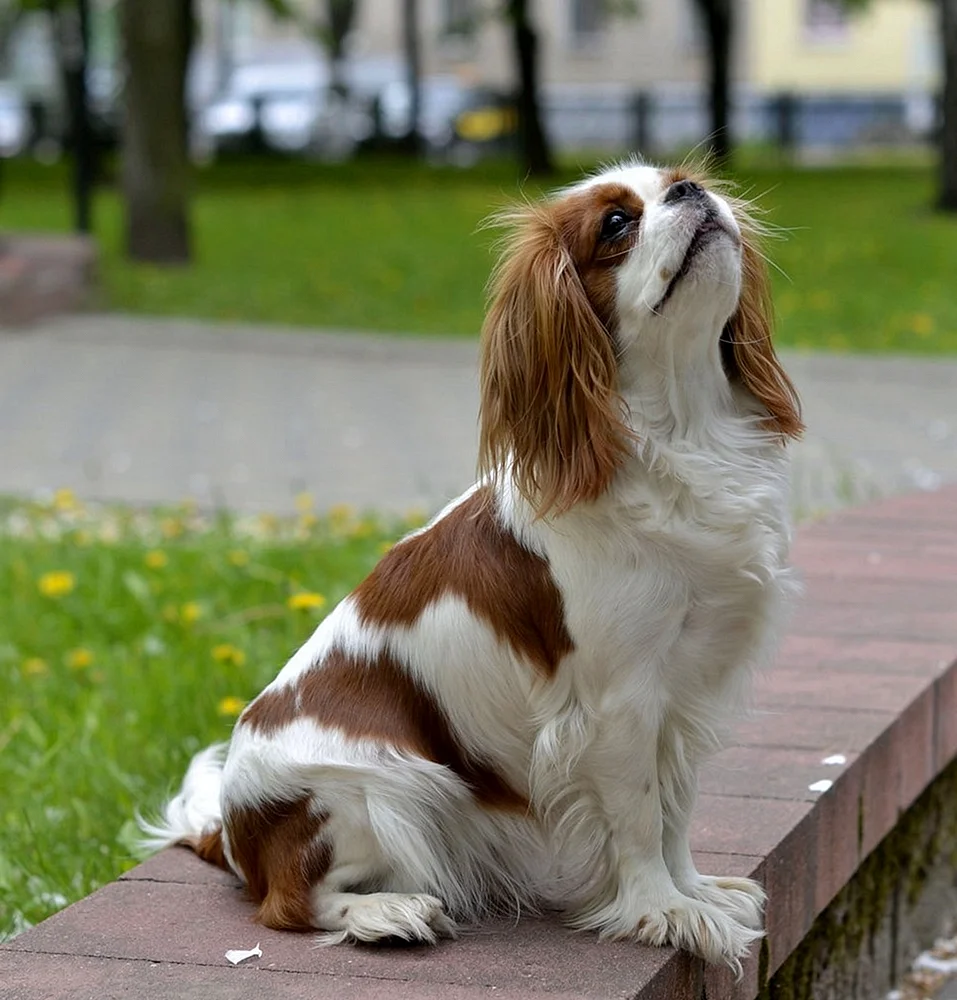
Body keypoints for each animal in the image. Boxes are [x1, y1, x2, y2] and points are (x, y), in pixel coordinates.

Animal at [140, 162, 800, 968]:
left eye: (681, 181)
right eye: (615, 224)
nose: (691, 194)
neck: (683, 431)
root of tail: (230, 832)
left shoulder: (682, 695)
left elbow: (675, 808)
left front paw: (695, 891)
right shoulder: (620, 702)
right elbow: (642, 816)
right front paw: (663, 912)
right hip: (385, 785)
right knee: (290, 904)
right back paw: (386, 912)